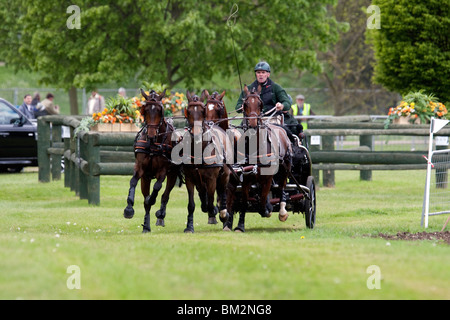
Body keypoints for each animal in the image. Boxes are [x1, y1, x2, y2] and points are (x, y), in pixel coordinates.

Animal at [124, 89, 180, 234]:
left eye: (160, 110)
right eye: (145, 110)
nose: (150, 135)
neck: (154, 144)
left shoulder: (163, 171)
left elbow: (157, 187)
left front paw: (153, 201)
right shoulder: (140, 169)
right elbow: (133, 182)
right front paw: (129, 209)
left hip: (172, 174)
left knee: (165, 195)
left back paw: (160, 215)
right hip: (146, 178)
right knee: (146, 200)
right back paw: (146, 226)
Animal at [178, 90, 232, 232]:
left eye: (202, 111)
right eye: (189, 111)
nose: (196, 134)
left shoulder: (211, 178)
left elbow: (212, 200)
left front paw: (215, 211)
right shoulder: (190, 179)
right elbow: (191, 204)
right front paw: (189, 227)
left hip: (224, 175)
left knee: (222, 192)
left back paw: (223, 214)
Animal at [232, 85, 292, 232]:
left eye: (260, 104)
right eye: (245, 104)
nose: (253, 124)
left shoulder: (268, 177)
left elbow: (264, 197)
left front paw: (266, 209)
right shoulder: (246, 178)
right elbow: (245, 200)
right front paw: (240, 225)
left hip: (285, 169)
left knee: (281, 187)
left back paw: (282, 211)